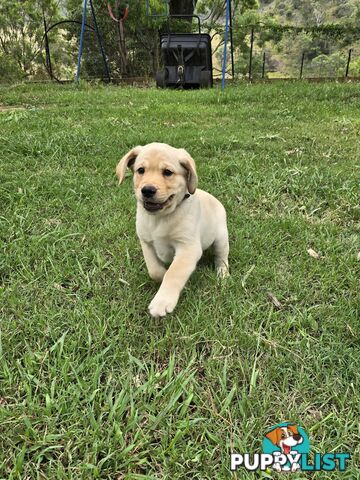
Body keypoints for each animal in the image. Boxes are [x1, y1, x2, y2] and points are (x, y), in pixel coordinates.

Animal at [116, 142, 229, 318]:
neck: (160, 218)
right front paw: (161, 275)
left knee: (221, 257)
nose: (147, 190)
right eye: (141, 170)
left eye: (168, 172)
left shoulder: (188, 248)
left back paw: (223, 274)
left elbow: (174, 272)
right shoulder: (146, 242)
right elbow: (154, 269)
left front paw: (162, 301)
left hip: (221, 238)